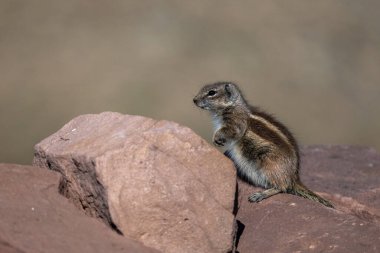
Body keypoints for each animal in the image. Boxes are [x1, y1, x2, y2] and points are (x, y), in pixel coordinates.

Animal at [194, 81, 334, 208]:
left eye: (212, 92)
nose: (194, 100)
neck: (234, 106)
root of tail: (294, 177)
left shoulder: (235, 122)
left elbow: (230, 132)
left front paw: (216, 139)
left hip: (269, 164)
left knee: (282, 186)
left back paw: (261, 195)